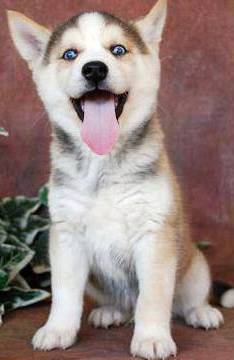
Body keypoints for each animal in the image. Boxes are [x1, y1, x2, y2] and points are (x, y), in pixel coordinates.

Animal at [7, 1, 223, 358]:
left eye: (118, 50)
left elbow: (154, 297)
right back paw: (111, 312)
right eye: (70, 54)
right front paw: (58, 329)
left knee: (186, 299)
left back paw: (201, 312)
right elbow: (64, 293)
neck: (102, 163)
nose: (94, 69)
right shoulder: (66, 234)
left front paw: (152, 337)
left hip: (195, 266)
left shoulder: (154, 233)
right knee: (119, 303)